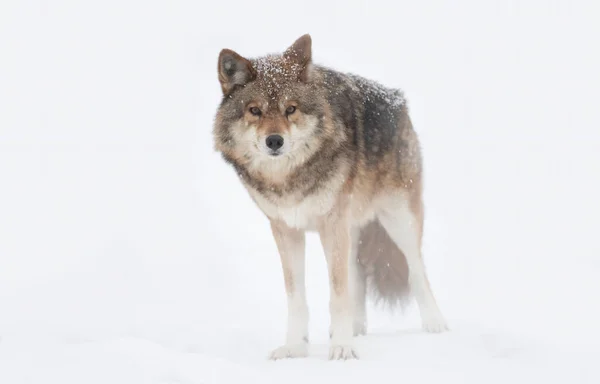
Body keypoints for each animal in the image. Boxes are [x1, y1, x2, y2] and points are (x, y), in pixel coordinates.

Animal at [213, 33, 448, 360]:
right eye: (255, 111)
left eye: (291, 109)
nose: (275, 141)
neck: (288, 178)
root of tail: (397, 100)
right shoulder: (286, 230)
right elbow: (297, 296)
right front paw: (295, 347)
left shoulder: (331, 225)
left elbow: (337, 292)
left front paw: (342, 347)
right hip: (353, 228)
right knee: (358, 272)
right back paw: (357, 328)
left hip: (398, 219)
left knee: (416, 269)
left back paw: (435, 324)